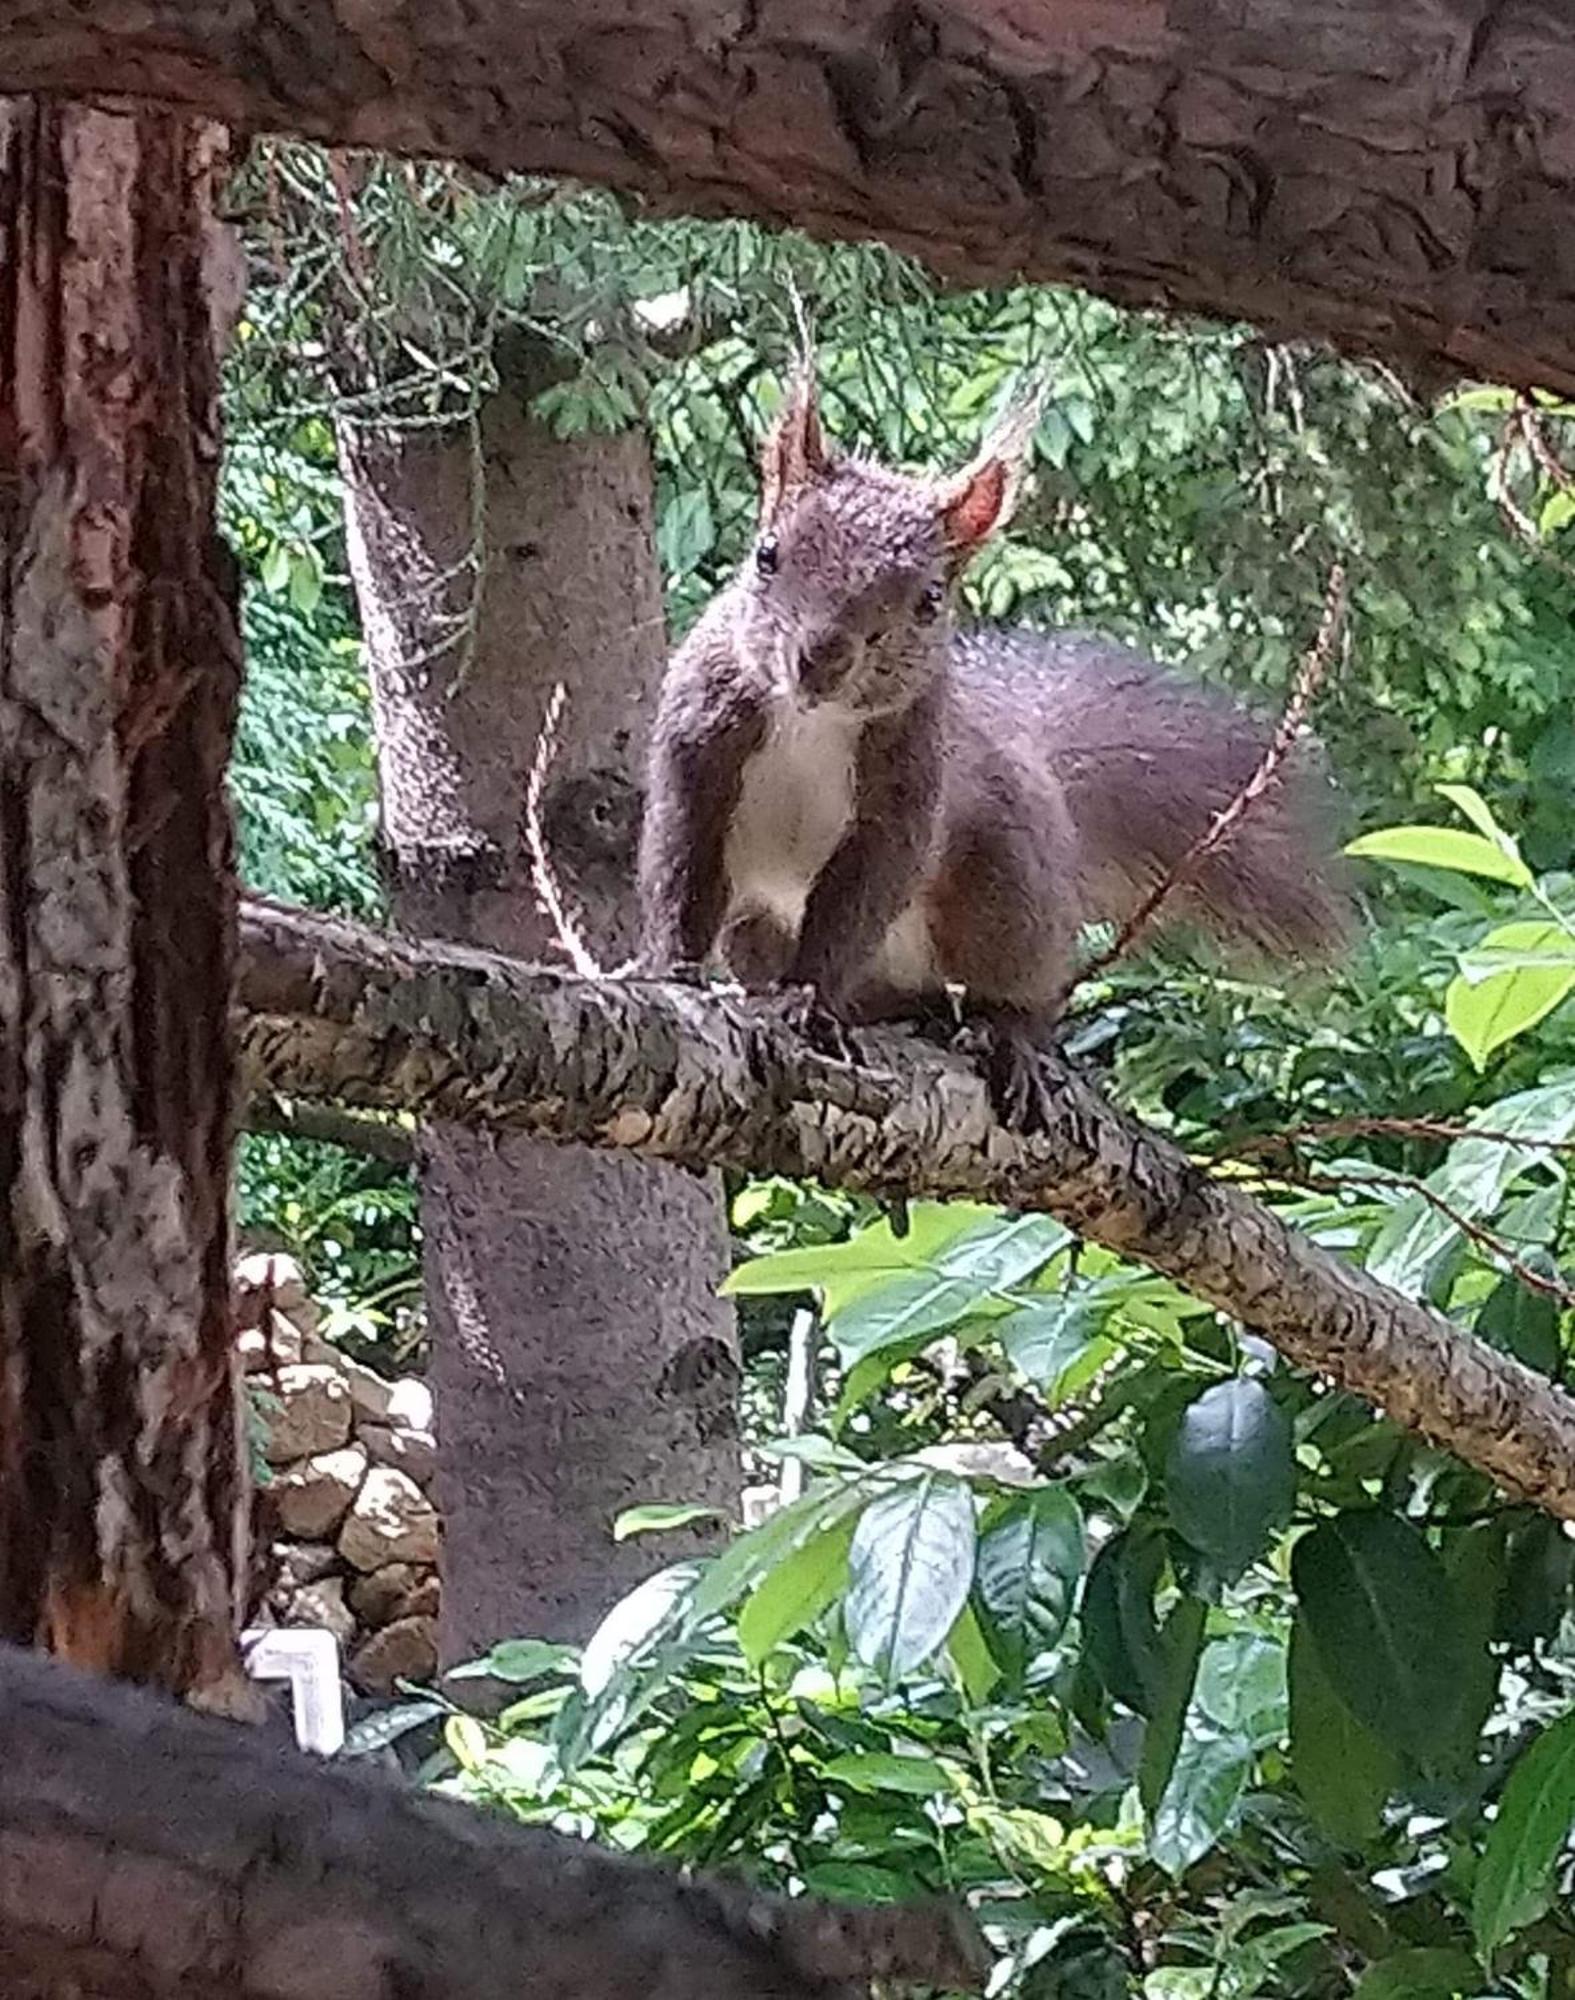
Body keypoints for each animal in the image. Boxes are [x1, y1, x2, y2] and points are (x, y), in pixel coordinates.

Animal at [635, 368, 1359, 1136]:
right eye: (766, 554)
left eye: (929, 600)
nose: (821, 657)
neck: (814, 723)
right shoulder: (698, 752)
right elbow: (682, 868)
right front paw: (670, 970)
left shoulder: (907, 794)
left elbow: (856, 903)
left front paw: (813, 1005)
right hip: (762, 927)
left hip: (1005, 890)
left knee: (1020, 989)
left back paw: (1007, 1037)